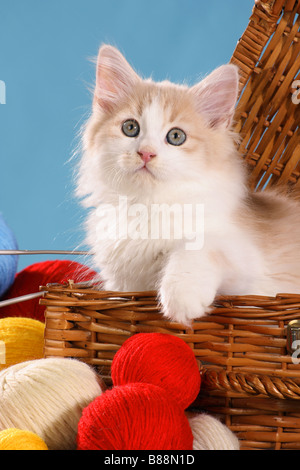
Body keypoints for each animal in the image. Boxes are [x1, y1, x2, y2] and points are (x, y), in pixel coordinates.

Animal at [76, 46, 300, 326]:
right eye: (130, 127)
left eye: (176, 136)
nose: (146, 153)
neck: (149, 205)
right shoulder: (123, 282)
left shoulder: (250, 268)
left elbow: (196, 247)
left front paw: (181, 299)